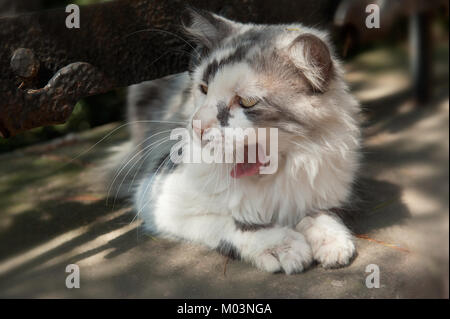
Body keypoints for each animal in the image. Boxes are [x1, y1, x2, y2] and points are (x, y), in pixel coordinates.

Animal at [111, 10, 362, 276]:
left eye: (247, 102)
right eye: (203, 88)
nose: (197, 125)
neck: (267, 175)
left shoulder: (325, 188)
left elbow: (320, 214)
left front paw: (332, 241)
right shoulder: (158, 200)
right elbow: (236, 222)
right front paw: (283, 246)